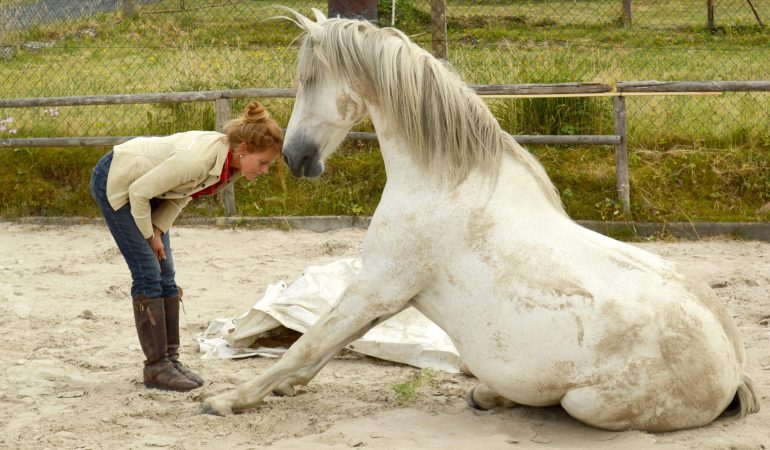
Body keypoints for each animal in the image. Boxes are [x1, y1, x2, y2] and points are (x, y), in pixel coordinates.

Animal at [200, 8, 760, 431]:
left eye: (308, 79)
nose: (295, 159)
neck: (444, 182)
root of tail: (733, 369)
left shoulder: (377, 286)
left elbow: (310, 342)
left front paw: (229, 400)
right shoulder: (390, 293)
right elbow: (328, 344)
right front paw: (285, 389)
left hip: (589, 403)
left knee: (560, 404)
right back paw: (487, 395)